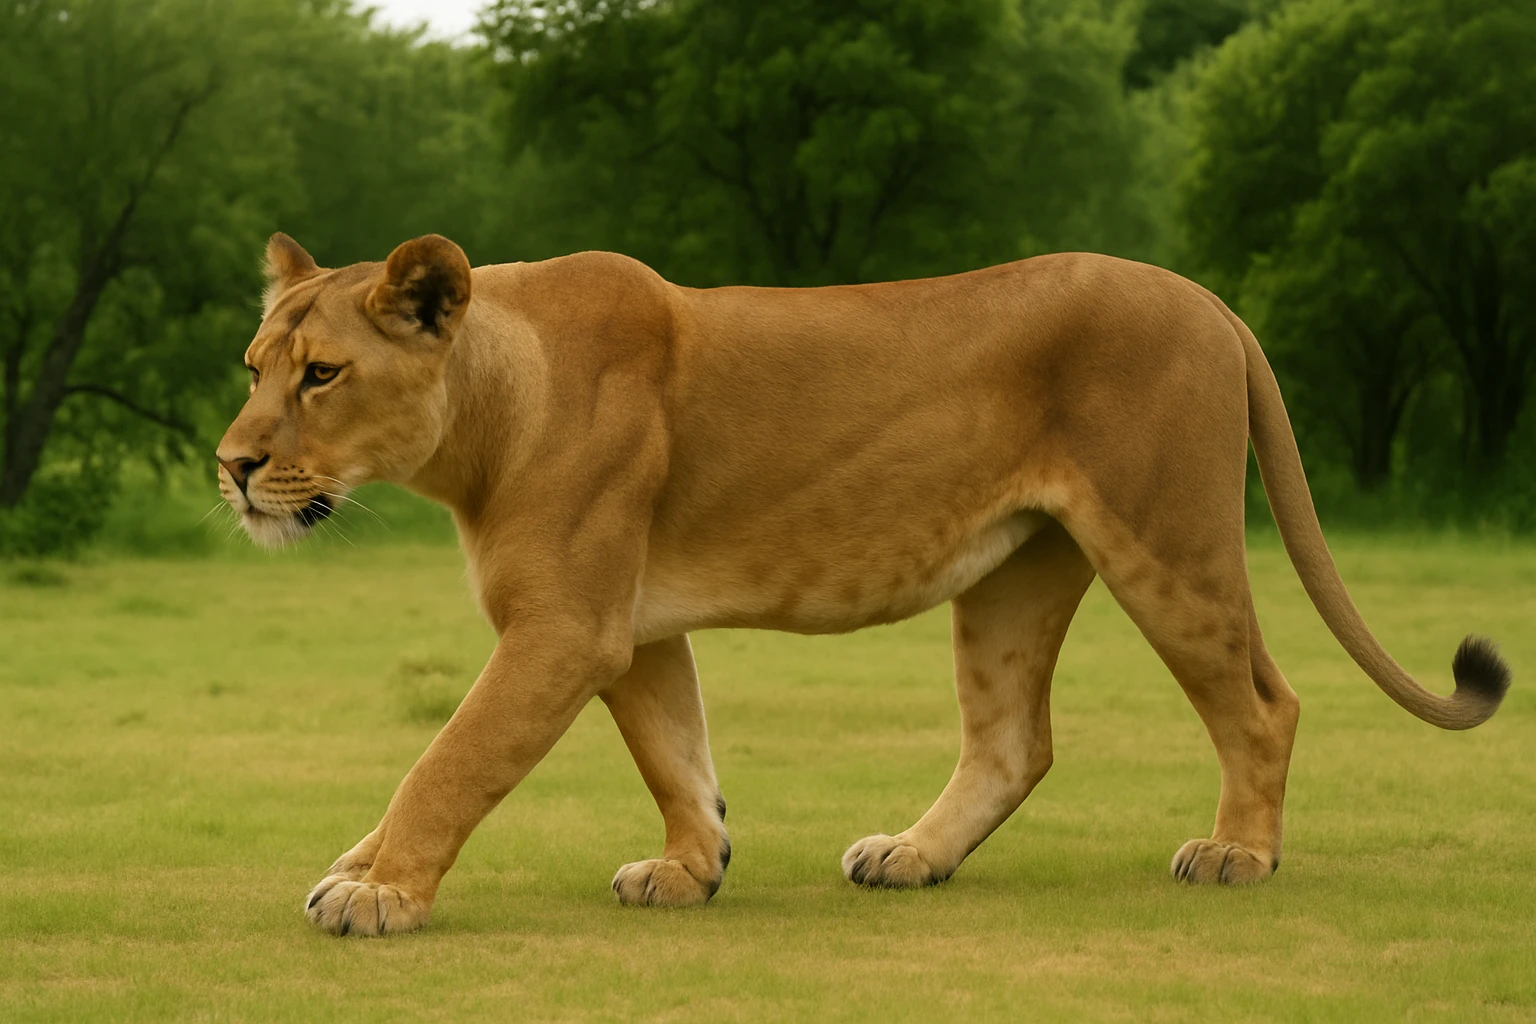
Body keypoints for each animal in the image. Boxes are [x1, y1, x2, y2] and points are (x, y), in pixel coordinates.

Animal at [216, 232, 1510, 937]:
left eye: (321, 374)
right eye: (253, 368)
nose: (231, 466)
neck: (487, 406)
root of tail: (1214, 303)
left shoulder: (566, 628)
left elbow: (449, 758)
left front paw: (377, 890)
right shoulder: (634, 631)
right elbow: (676, 753)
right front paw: (692, 868)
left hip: (1167, 536)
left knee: (1263, 702)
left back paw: (1238, 854)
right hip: (1016, 575)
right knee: (1014, 741)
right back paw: (913, 856)